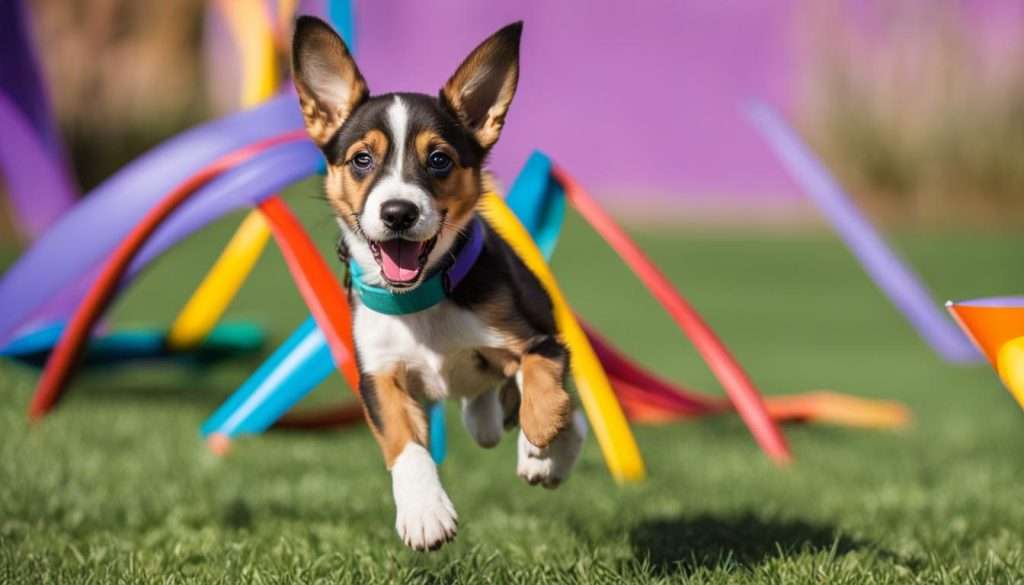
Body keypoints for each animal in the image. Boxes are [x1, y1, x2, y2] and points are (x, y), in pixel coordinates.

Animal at [292, 16, 589, 553]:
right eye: (362, 160)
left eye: (439, 161)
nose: (398, 212)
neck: (420, 302)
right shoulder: (378, 375)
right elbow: (403, 444)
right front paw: (424, 513)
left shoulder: (537, 337)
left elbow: (541, 372)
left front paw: (539, 436)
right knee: (488, 415)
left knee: (567, 410)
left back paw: (543, 454)